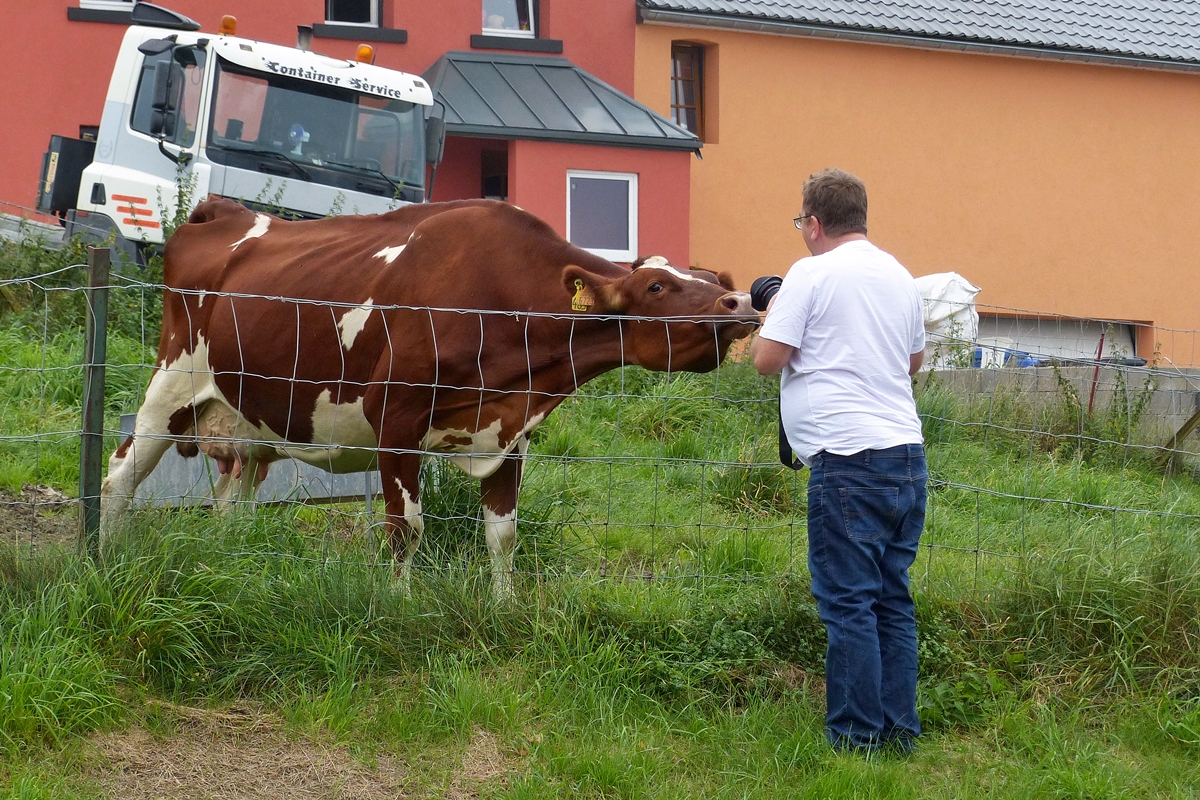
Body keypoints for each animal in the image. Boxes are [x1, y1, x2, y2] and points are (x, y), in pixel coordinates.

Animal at [105, 195, 758, 594]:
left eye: (712, 279)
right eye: (657, 286)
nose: (741, 302)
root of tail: (225, 212)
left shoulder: (510, 431)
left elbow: (503, 533)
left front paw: (503, 607)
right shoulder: (395, 416)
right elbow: (407, 529)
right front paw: (399, 602)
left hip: (250, 422)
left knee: (230, 503)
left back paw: (233, 566)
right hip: (170, 385)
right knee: (119, 479)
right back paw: (103, 558)